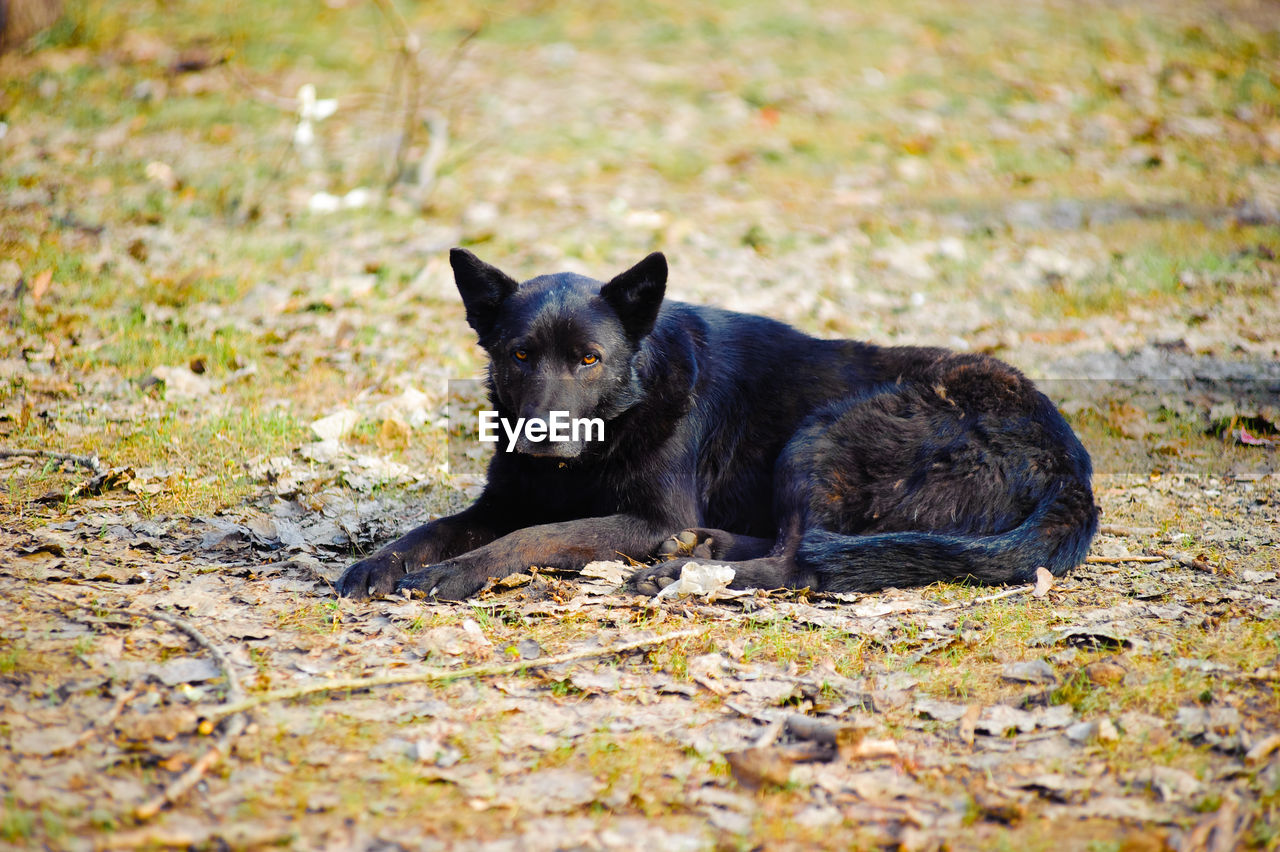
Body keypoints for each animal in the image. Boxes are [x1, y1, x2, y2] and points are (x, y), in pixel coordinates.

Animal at [340, 249, 1100, 601]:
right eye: (520, 355)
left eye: (589, 359)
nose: (543, 439)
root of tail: (1071, 464)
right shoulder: (502, 500)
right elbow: (432, 529)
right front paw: (378, 564)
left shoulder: (647, 517)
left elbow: (535, 536)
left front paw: (455, 574)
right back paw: (703, 549)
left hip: (823, 433)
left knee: (801, 560)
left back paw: (681, 569)